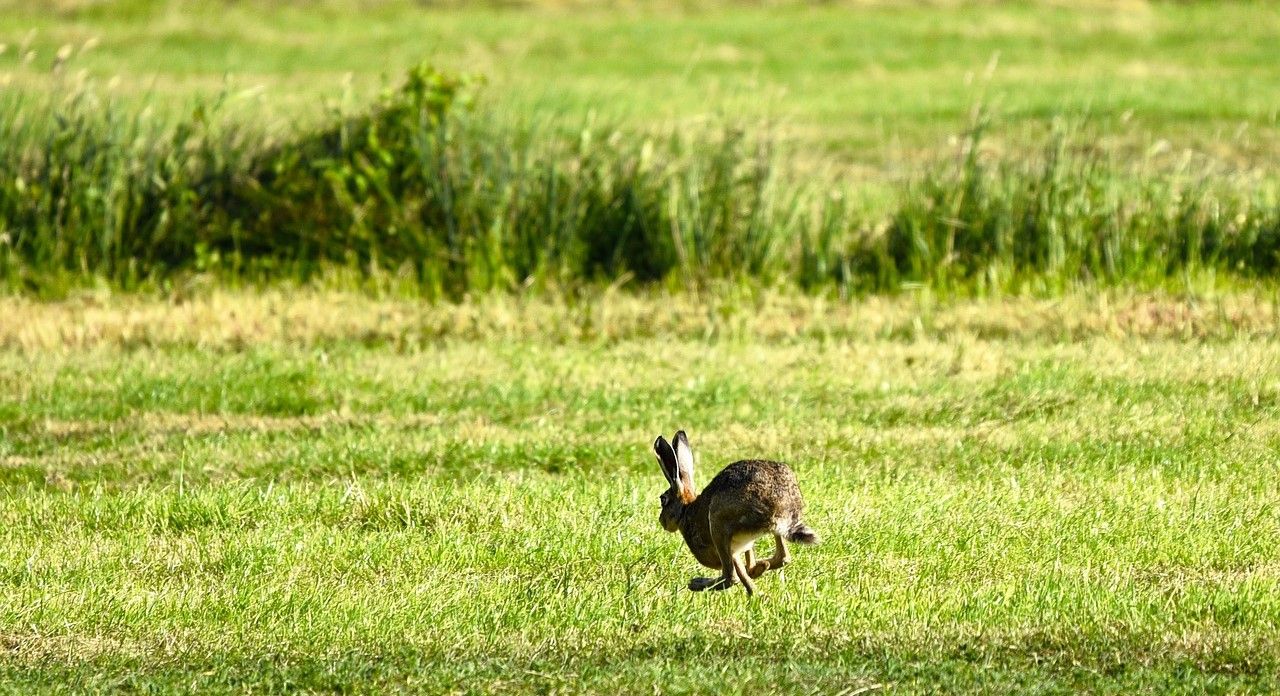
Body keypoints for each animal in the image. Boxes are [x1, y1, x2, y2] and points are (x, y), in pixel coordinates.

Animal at [653, 430, 818, 596]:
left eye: (663, 499)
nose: (661, 521)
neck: (685, 510)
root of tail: (779, 508)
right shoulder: (740, 546)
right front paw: (756, 570)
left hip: (717, 524)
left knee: (730, 577)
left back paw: (696, 584)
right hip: (769, 531)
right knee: (783, 557)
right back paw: (759, 571)